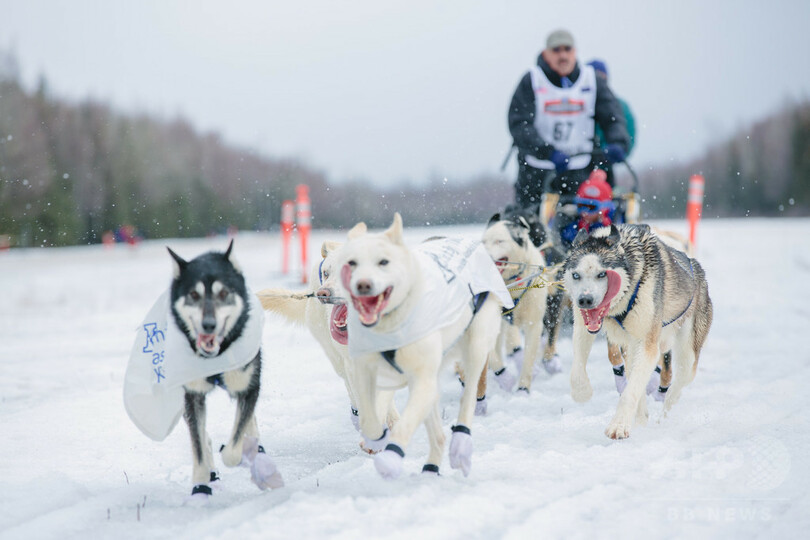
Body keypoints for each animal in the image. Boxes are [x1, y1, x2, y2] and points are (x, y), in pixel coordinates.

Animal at [334, 214, 512, 476]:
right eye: (351, 263)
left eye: (383, 262)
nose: (363, 285)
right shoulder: (369, 373)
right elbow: (369, 418)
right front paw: (376, 439)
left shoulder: (422, 379)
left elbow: (404, 424)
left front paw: (391, 458)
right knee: (437, 430)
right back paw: (431, 467)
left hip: (476, 345)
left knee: (469, 397)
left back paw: (460, 444)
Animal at [564, 224, 712, 438]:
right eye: (576, 275)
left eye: (602, 274)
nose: (584, 300)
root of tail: (697, 269)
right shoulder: (583, 328)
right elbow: (577, 366)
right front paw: (582, 392)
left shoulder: (649, 345)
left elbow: (630, 393)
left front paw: (618, 425)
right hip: (631, 349)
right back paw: (641, 420)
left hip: (687, 354)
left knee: (676, 386)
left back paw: (664, 415)